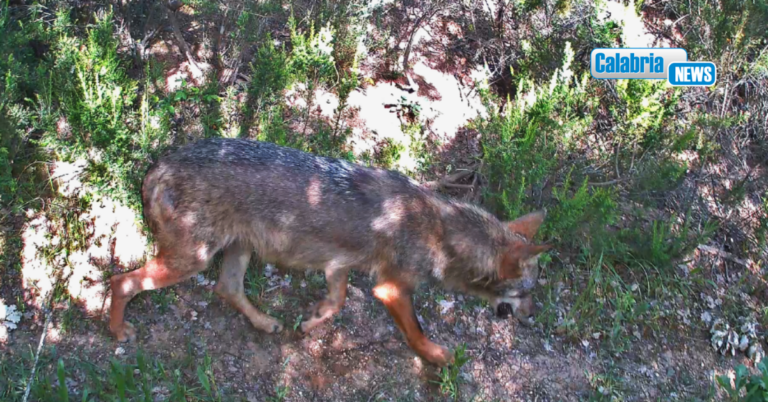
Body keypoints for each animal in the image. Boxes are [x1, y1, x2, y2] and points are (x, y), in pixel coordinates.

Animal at [109, 138, 551, 366]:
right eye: (525, 293)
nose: (534, 316)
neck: (442, 233)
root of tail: (158, 165)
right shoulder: (391, 289)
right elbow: (416, 332)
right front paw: (440, 357)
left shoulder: (339, 265)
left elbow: (337, 302)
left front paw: (311, 322)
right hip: (192, 260)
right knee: (120, 281)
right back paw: (118, 331)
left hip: (238, 252)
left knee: (226, 289)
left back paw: (267, 324)